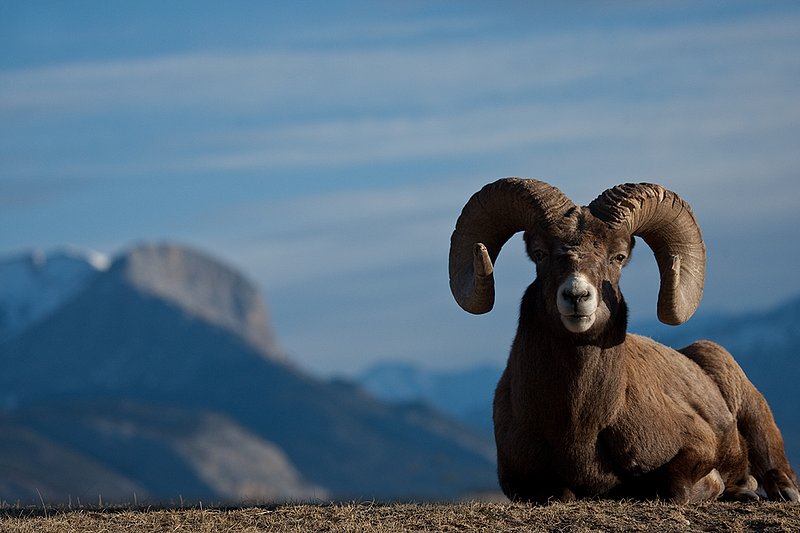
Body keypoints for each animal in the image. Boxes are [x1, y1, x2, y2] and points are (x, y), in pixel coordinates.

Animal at [448, 178, 799, 504]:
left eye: (618, 257)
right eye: (539, 254)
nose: (576, 296)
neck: (580, 425)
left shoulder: (699, 444)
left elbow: (675, 488)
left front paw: (715, 486)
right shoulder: (519, 480)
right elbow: (560, 494)